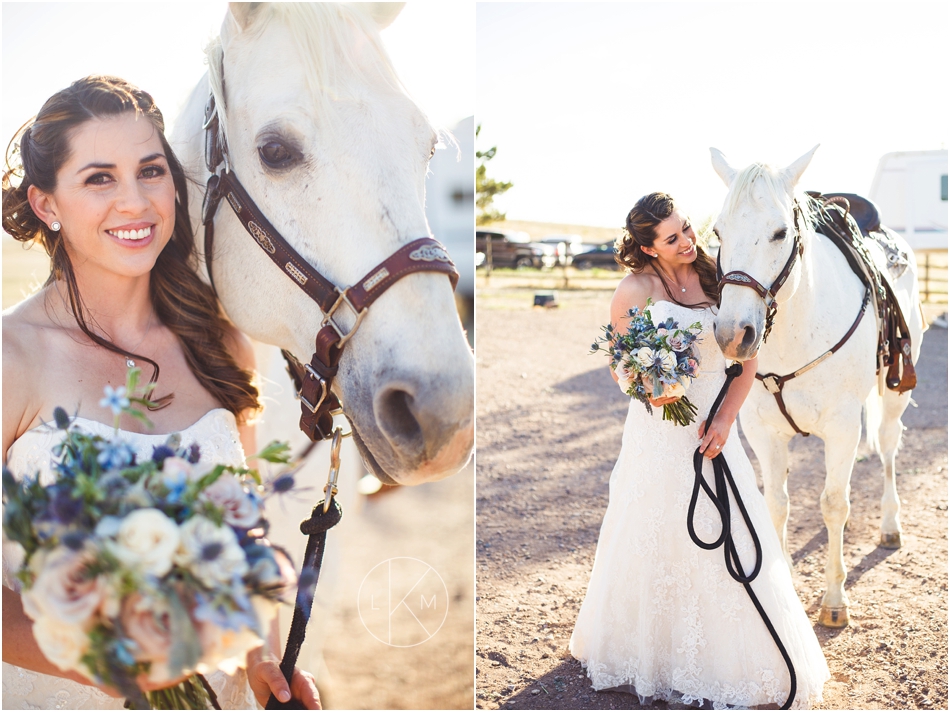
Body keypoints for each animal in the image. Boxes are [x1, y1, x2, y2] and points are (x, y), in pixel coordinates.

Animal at [712, 147, 924, 624]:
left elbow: (833, 504)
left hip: (894, 394)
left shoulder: (842, 429)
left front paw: (834, 599)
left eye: (779, 232)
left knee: (888, 448)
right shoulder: (764, 433)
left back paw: (890, 525)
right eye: (717, 231)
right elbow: (777, 504)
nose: (733, 334)